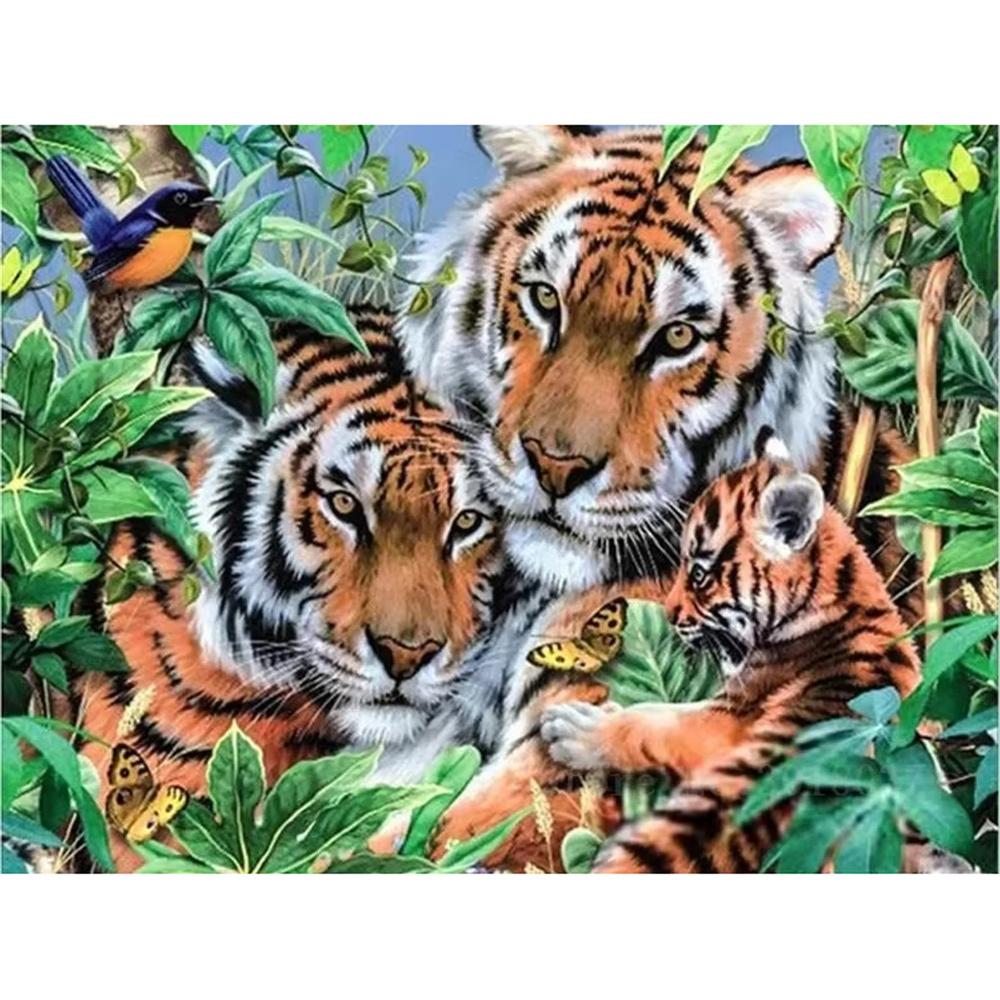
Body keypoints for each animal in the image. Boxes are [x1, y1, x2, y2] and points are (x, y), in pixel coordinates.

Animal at [538, 428, 921, 872]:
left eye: (699, 574)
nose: (668, 613)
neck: (840, 597)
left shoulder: (730, 715)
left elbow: (655, 719)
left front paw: (576, 727)